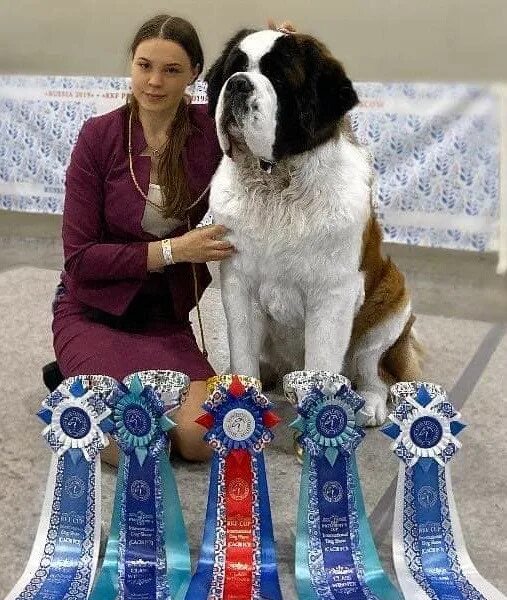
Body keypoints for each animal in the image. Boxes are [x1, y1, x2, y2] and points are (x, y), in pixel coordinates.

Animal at [204, 27, 422, 422]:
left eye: (278, 78)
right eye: (234, 68)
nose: (238, 84)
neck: (278, 187)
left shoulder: (331, 295)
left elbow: (322, 365)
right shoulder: (238, 283)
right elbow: (243, 353)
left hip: (393, 302)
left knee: (374, 369)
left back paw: (369, 402)